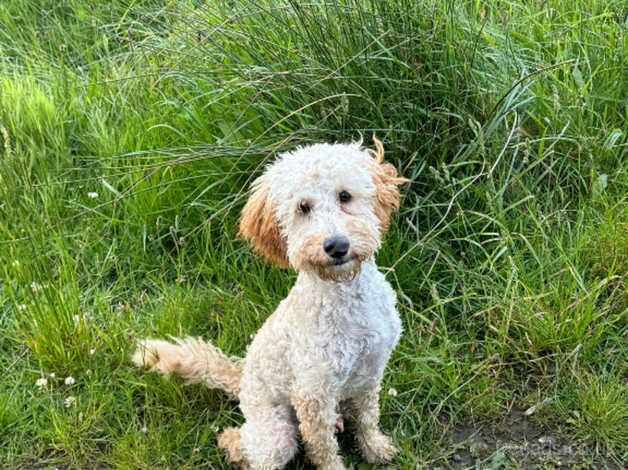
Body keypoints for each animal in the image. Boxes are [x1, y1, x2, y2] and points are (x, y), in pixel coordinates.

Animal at [133, 138, 408, 468]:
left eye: (345, 196)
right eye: (303, 207)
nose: (337, 246)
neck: (347, 299)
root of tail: (242, 380)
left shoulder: (369, 374)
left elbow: (367, 418)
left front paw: (375, 449)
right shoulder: (312, 395)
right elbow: (323, 447)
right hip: (276, 434)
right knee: (241, 444)